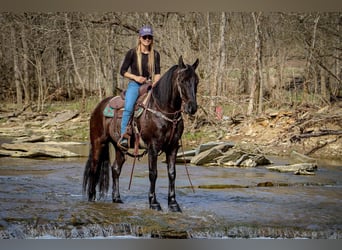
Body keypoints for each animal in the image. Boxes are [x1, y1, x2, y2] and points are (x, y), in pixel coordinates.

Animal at [83, 55, 199, 212]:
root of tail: (99, 107)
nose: (192, 107)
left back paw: (117, 198)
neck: (163, 110)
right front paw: (154, 203)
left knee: (115, 169)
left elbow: (172, 174)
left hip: (119, 147)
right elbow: (153, 173)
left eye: (196, 81)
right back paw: (91, 198)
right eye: (182, 80)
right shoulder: (153, 148)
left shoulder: (173, 147)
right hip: (98, 142)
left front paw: (173, 204)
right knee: (94, 168)